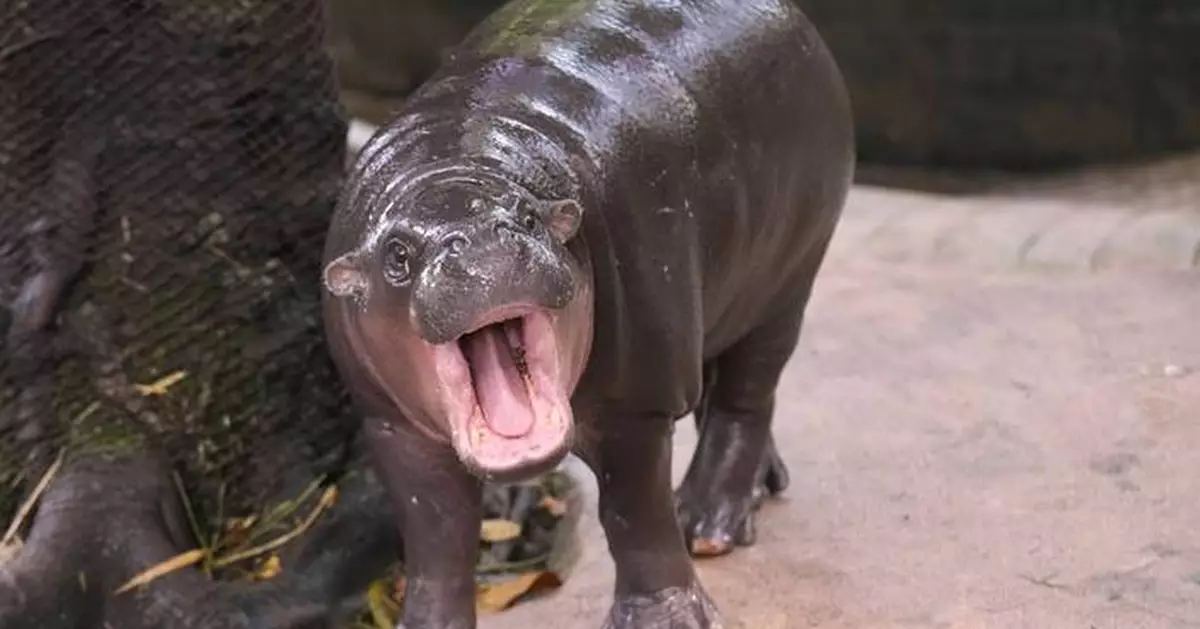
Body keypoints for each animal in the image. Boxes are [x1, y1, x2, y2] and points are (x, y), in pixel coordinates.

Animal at [321, 0, 854, 626]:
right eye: (397, 255)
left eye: (527, 217)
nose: (481, 244)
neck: (455, 161)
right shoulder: (393, 428)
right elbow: (437, 539)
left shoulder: (637, 404)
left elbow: (633, 514)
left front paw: (664, 617)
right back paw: (759, 488)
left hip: (789, 275)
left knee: (746, 396)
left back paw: (708, 523)